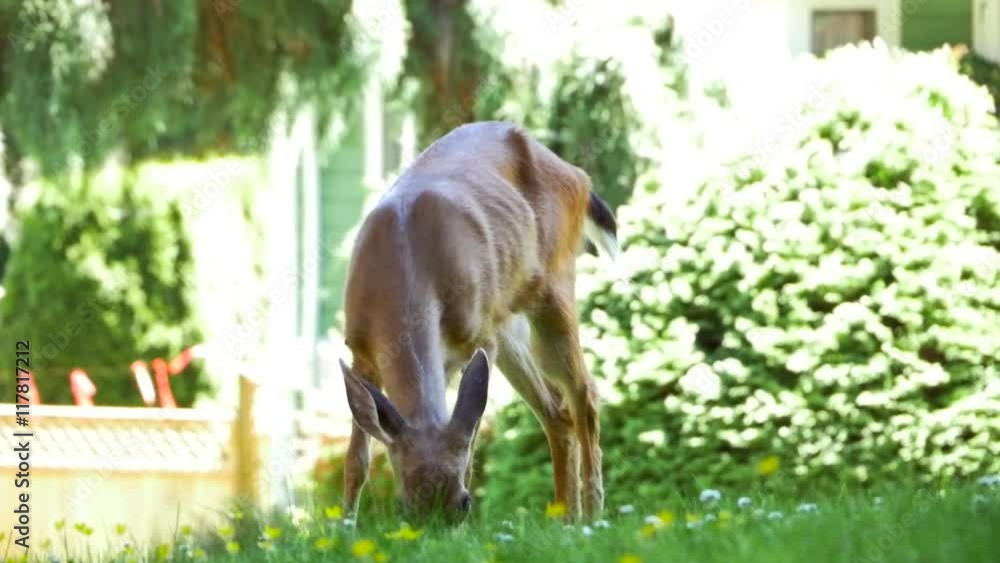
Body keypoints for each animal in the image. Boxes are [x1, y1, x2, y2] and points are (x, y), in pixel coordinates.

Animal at [338, 121, 618, 523]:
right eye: (404, 508)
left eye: (464, 503)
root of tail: (579, 175)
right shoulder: (360, 350)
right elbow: (356, 462)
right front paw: (343, 527)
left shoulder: (477, 337)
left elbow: (469, 449)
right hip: (507, 324)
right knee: (556, 412)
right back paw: (564, 520)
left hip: (554, 288)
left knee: (585, 396)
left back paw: (592, 518)